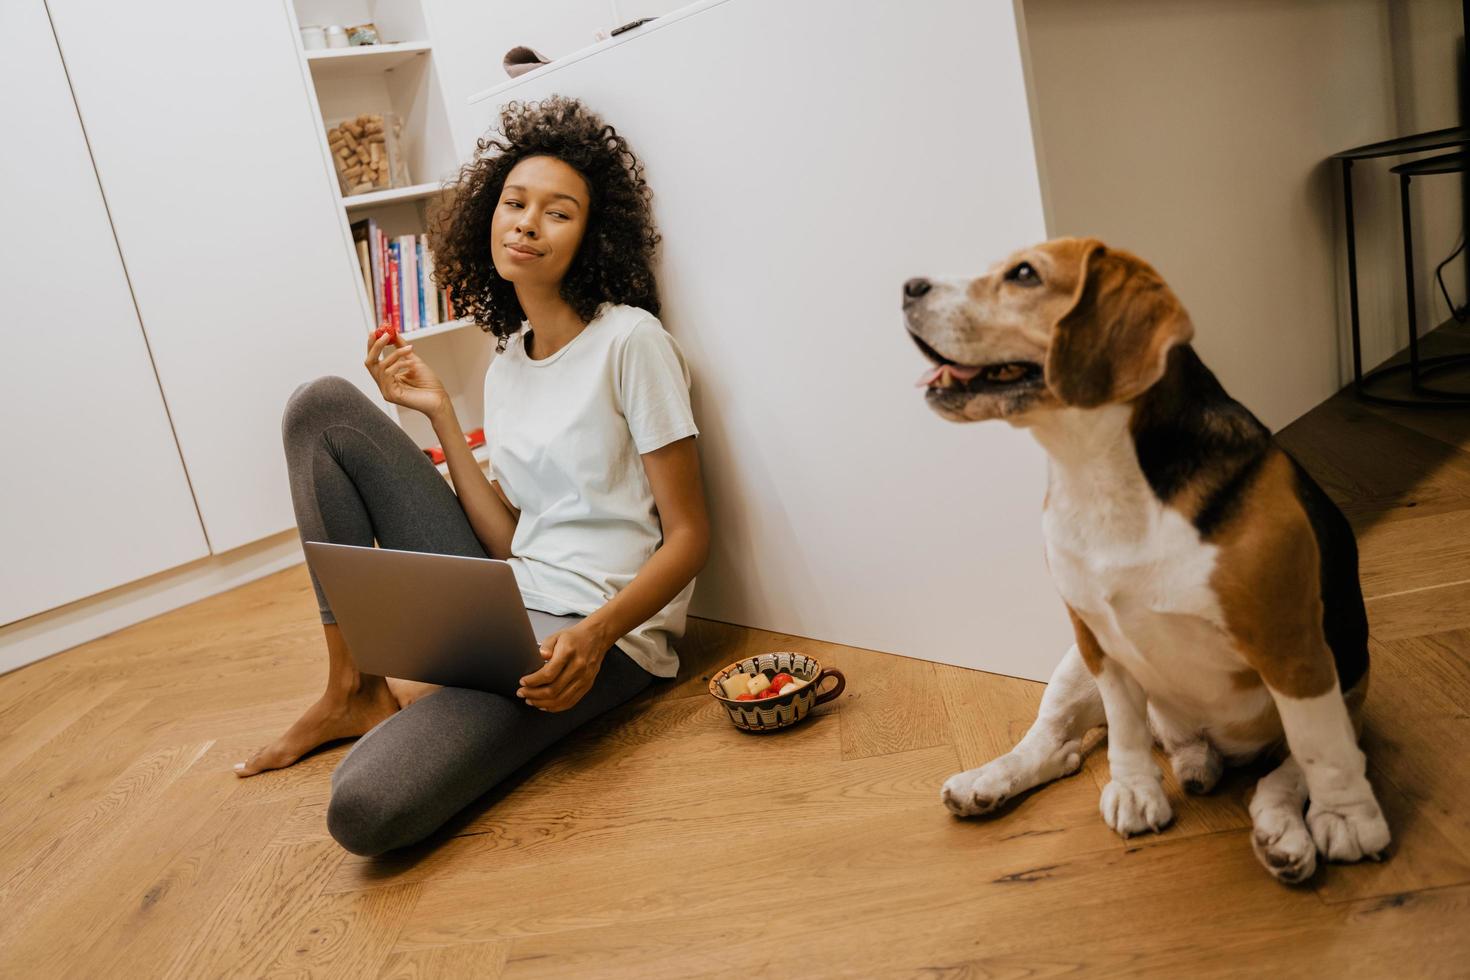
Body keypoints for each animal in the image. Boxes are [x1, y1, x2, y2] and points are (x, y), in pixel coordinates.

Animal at [905, 239, 1387, 887]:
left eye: (1025, 274)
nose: (907, 287)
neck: (1100, 472)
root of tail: (1200, 749)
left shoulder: (1291, 645)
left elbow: (1320, 752)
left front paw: (1348, 820)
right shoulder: (1096, 637)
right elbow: (1125, 730)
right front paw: (1136, 792)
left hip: (1345, 694)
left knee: (1284, 776)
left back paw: (1283, 832)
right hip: (1071, 665)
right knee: (1051, 745)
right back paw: (989, 781)